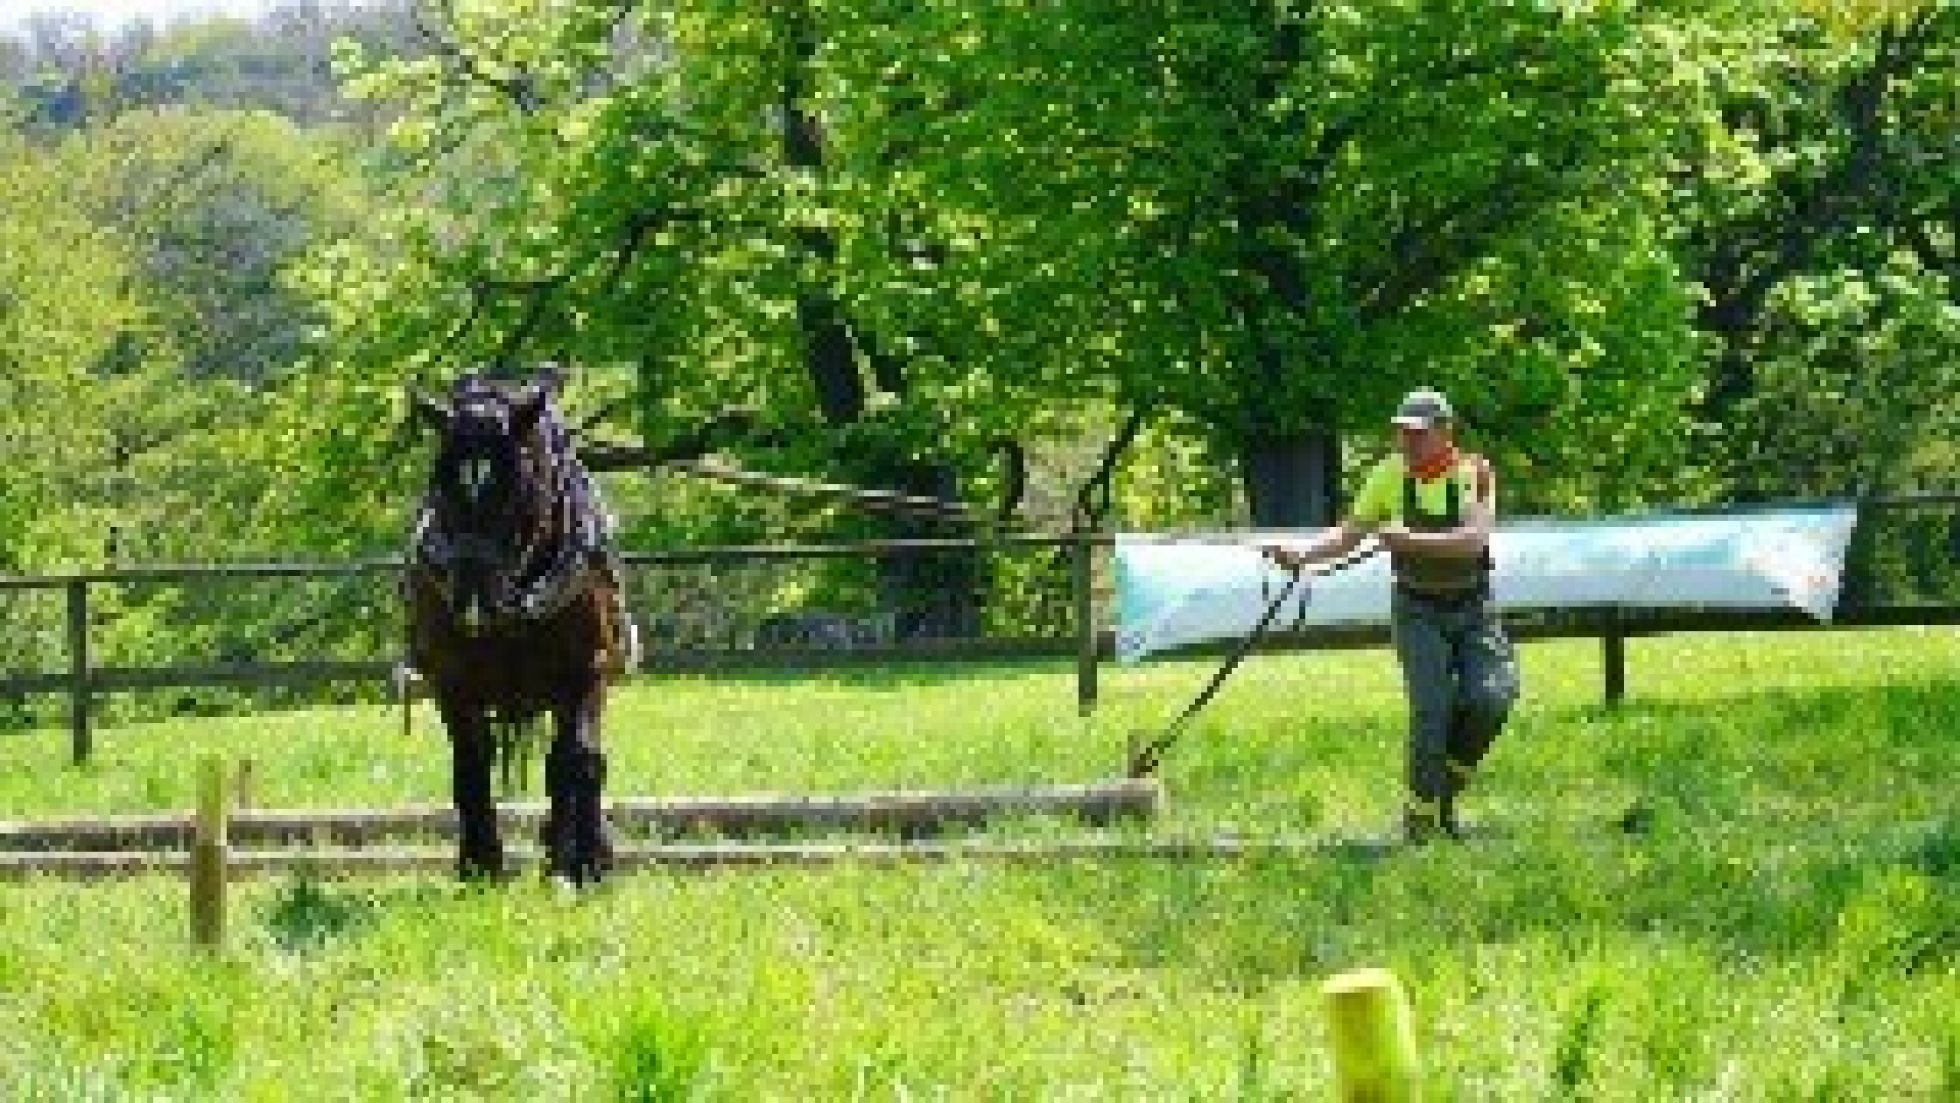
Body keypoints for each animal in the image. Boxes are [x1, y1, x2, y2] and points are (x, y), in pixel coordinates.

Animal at [405, 372, 630, 885]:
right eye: (439, 481)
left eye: (515, 484)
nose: (471, 595)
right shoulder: (452, 683)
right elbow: (470, 764)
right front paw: (479, 862)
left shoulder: (586, 672)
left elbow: (575, 761)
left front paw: (576, 864)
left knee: (576, 761)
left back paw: (578, 851)